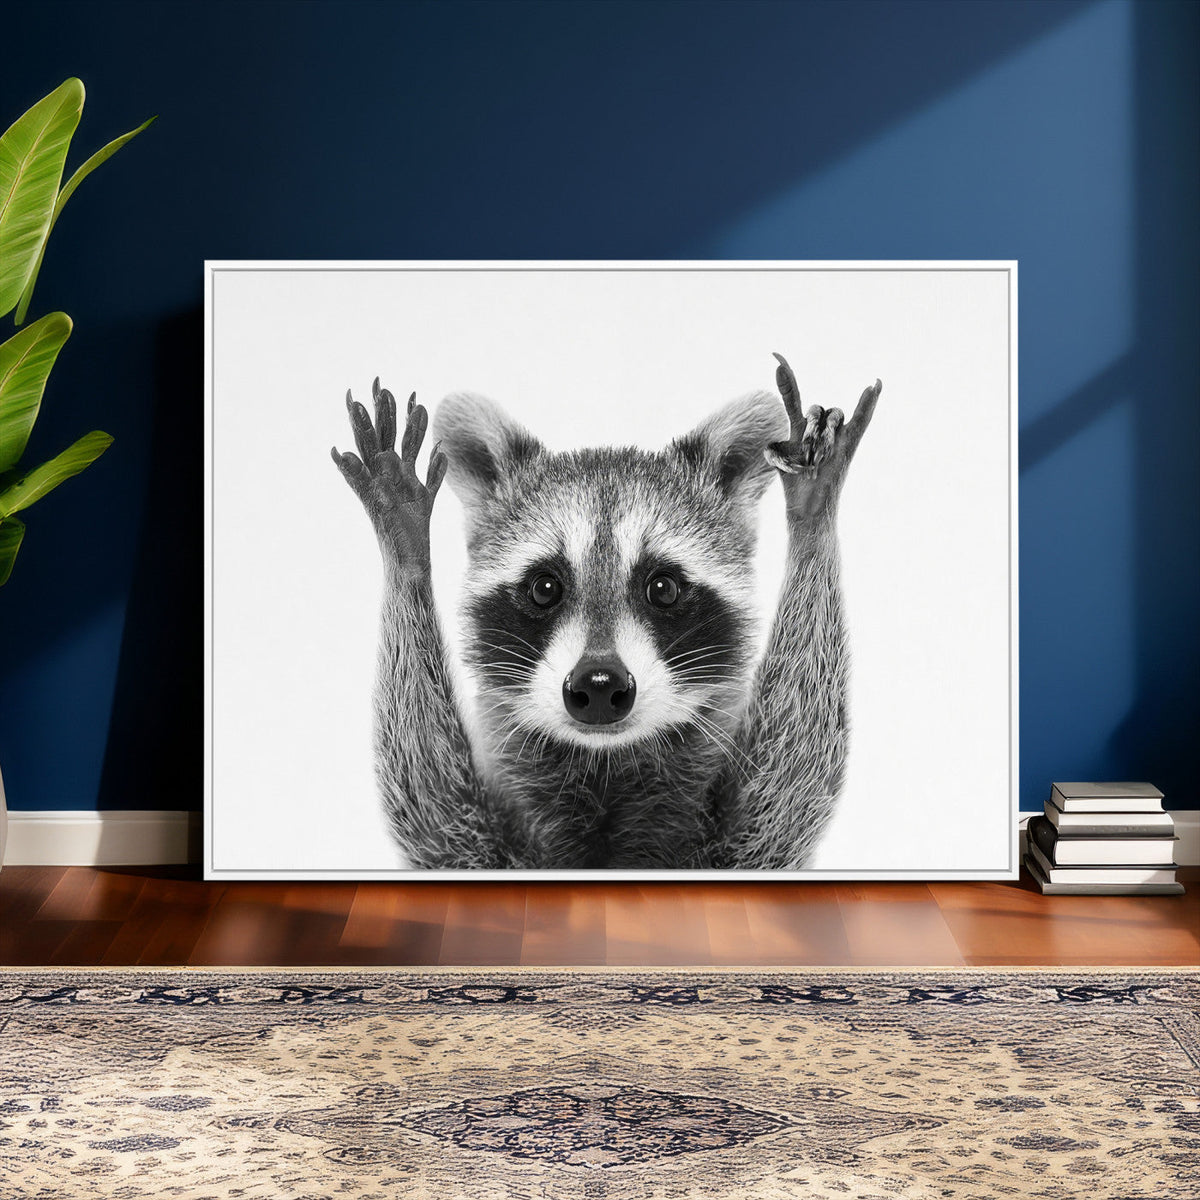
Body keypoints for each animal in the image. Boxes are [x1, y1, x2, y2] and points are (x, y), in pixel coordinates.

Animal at [331, 355, 880, 870]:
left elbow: (791, 778)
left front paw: (812, 515)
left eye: (662, 588)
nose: (598, 685)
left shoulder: (746, 844)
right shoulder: (474, 845)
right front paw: (405, 546)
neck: (604, 768)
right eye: (544, 588)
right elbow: (430, 806)